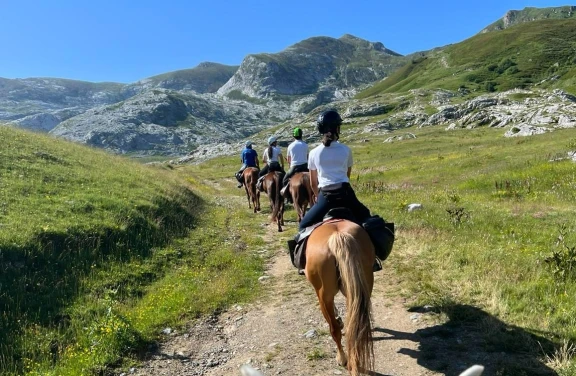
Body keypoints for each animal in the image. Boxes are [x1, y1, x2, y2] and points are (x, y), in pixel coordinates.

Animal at [306, 219, 374, 374]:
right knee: (354, 326)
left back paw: (342, 358)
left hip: (324, 296)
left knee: (334, 330)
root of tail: (338, 236)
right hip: (360, 287)